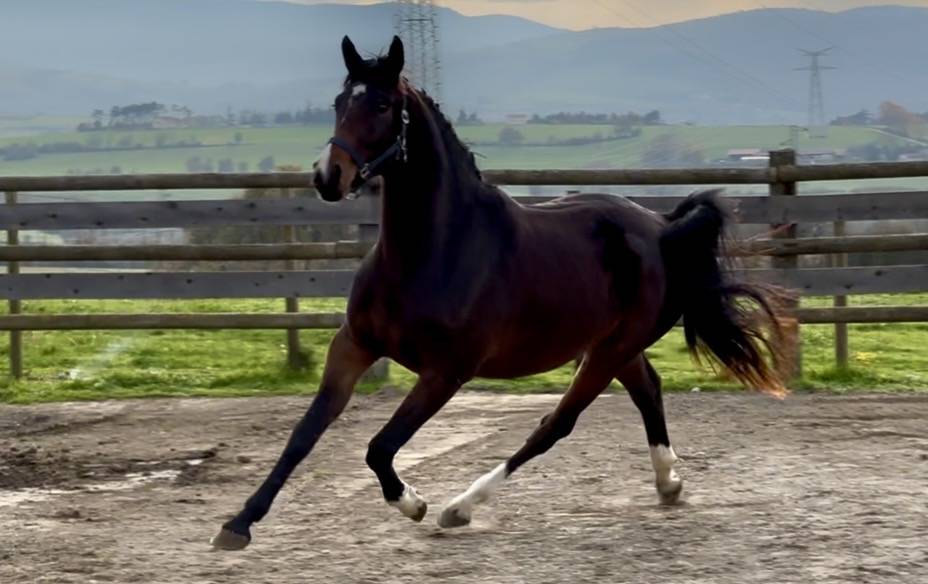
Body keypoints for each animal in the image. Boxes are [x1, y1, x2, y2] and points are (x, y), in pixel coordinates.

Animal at [210, 35, 786, 550]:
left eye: (382, 104)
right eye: (338, 101)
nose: (328, 176)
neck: (431, 252)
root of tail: (662, 227)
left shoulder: (446, 372)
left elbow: (379, 447)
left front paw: (413, 503)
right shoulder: (354, 345)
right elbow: (303, 435)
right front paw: (237, 525)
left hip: (609, 350)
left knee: (555, 425)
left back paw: (458, 508)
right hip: (612, 345)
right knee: (648, 389)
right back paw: (669, 484)